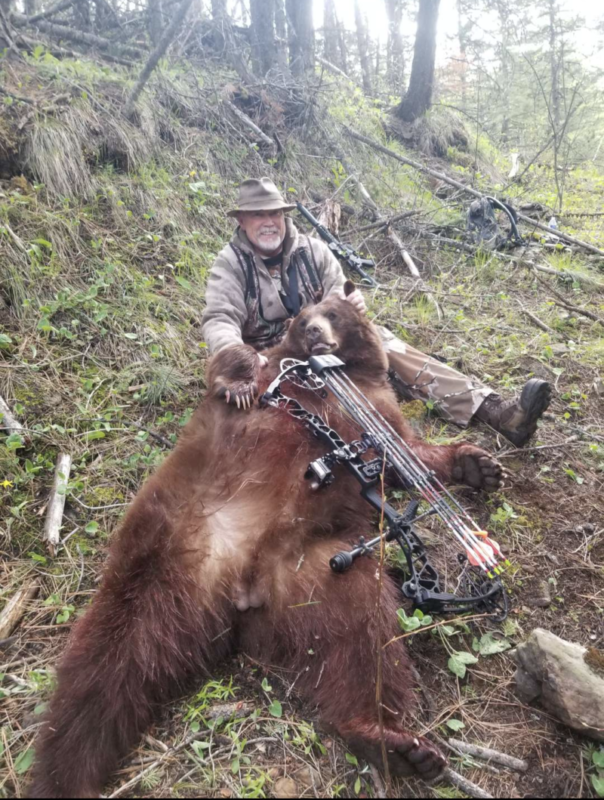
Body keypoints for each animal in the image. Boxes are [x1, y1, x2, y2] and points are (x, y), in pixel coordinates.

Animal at [28, 290, 502, 796]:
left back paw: (393, 742)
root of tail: (240, 585)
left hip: (314, 573)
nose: (313, 330)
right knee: (103, 667)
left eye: (332, 313)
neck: (335, 378)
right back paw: (60, 774)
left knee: (363, 631)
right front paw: (236, 384)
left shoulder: (379, 408)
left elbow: (409, 453)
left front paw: (480, 466)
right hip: (163, 549)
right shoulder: (274, 377)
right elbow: (234, 365)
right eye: (302, 316)